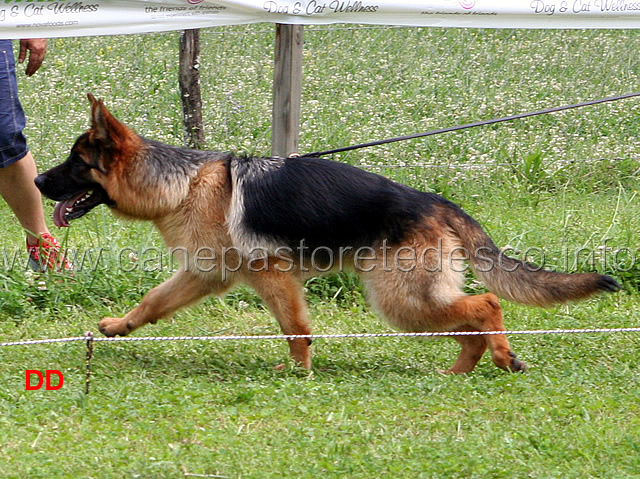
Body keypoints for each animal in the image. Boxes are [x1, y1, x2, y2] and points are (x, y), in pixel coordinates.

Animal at [35, 95, 620, 376]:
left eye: (76, 163)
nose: (38, 181)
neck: (183, 184)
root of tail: (436, 201)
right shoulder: (204, 274)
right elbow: (152, 302)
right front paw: (118, 326)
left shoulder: (271, 277)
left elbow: (295, 328)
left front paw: (298, 371)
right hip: (410, 301)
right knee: (471, 320)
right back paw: (460, 370)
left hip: (399, 299)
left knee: (486, 304)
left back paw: (499, 356)